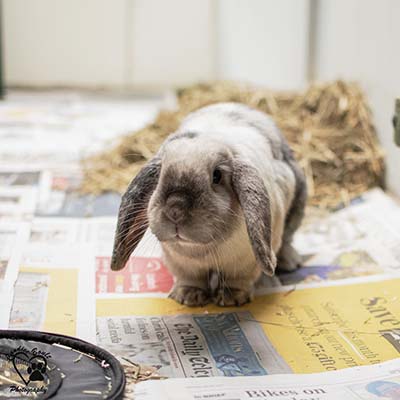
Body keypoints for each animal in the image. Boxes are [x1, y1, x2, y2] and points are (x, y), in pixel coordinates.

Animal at [109, 102, 306, 306]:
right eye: (161, 174)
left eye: (217, 176)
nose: (175, 210)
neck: (202, 249)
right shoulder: (182, 265)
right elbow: (190, 279)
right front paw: (188, 297)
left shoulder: (245, 264)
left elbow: (238, 280)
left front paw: (231, 299)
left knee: (287, 240)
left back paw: (289, 263)